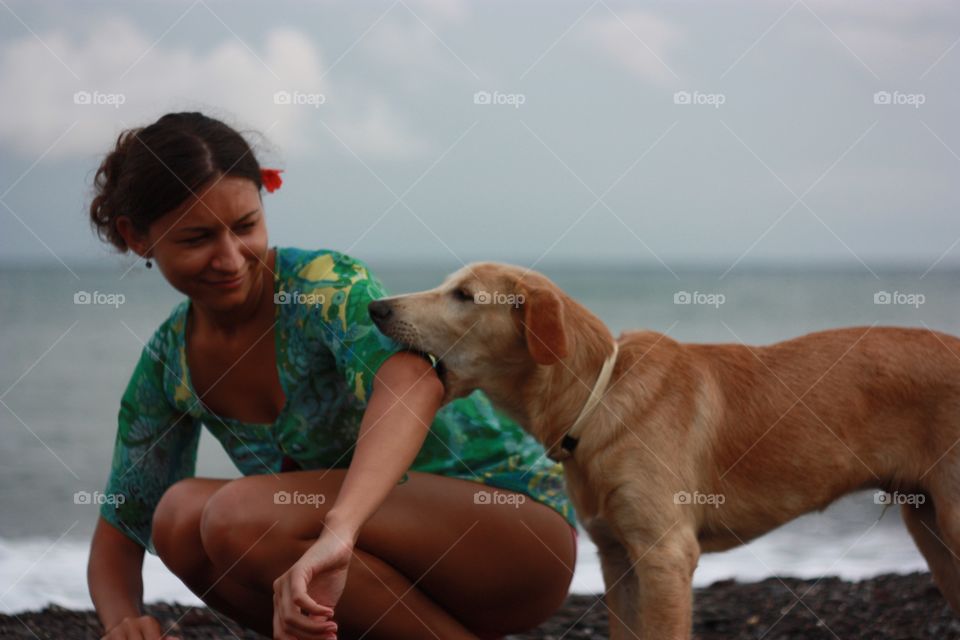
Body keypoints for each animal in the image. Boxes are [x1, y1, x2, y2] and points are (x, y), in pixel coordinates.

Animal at [370, 262, 960, 636]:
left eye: (464, 296)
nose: (376, 307)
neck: (597, 396)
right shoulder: (617, 558)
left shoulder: (665, 557)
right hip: (929, 526)